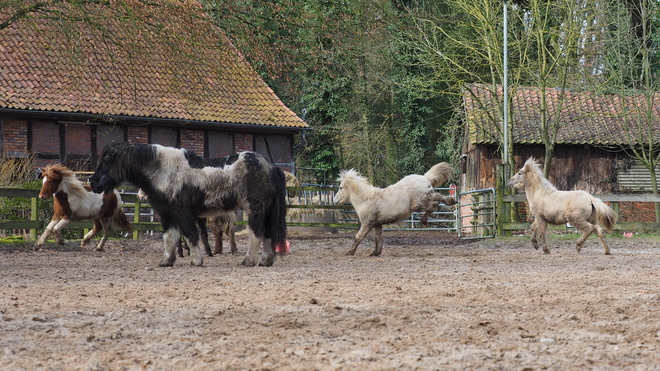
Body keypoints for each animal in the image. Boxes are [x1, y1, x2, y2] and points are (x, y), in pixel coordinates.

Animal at [91, 142, 288, 268]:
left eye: (107, 160)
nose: (93, 183)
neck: (163, 172)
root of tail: (272, 167)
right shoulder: (167, 215)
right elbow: (170, 237)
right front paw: (167, 261)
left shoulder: (183, 213)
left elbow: (190, 235)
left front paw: (196, 260)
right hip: (266, 212)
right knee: (267, 235)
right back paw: (265, 261)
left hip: (256, 210)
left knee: (257, 233)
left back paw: (249, 260)